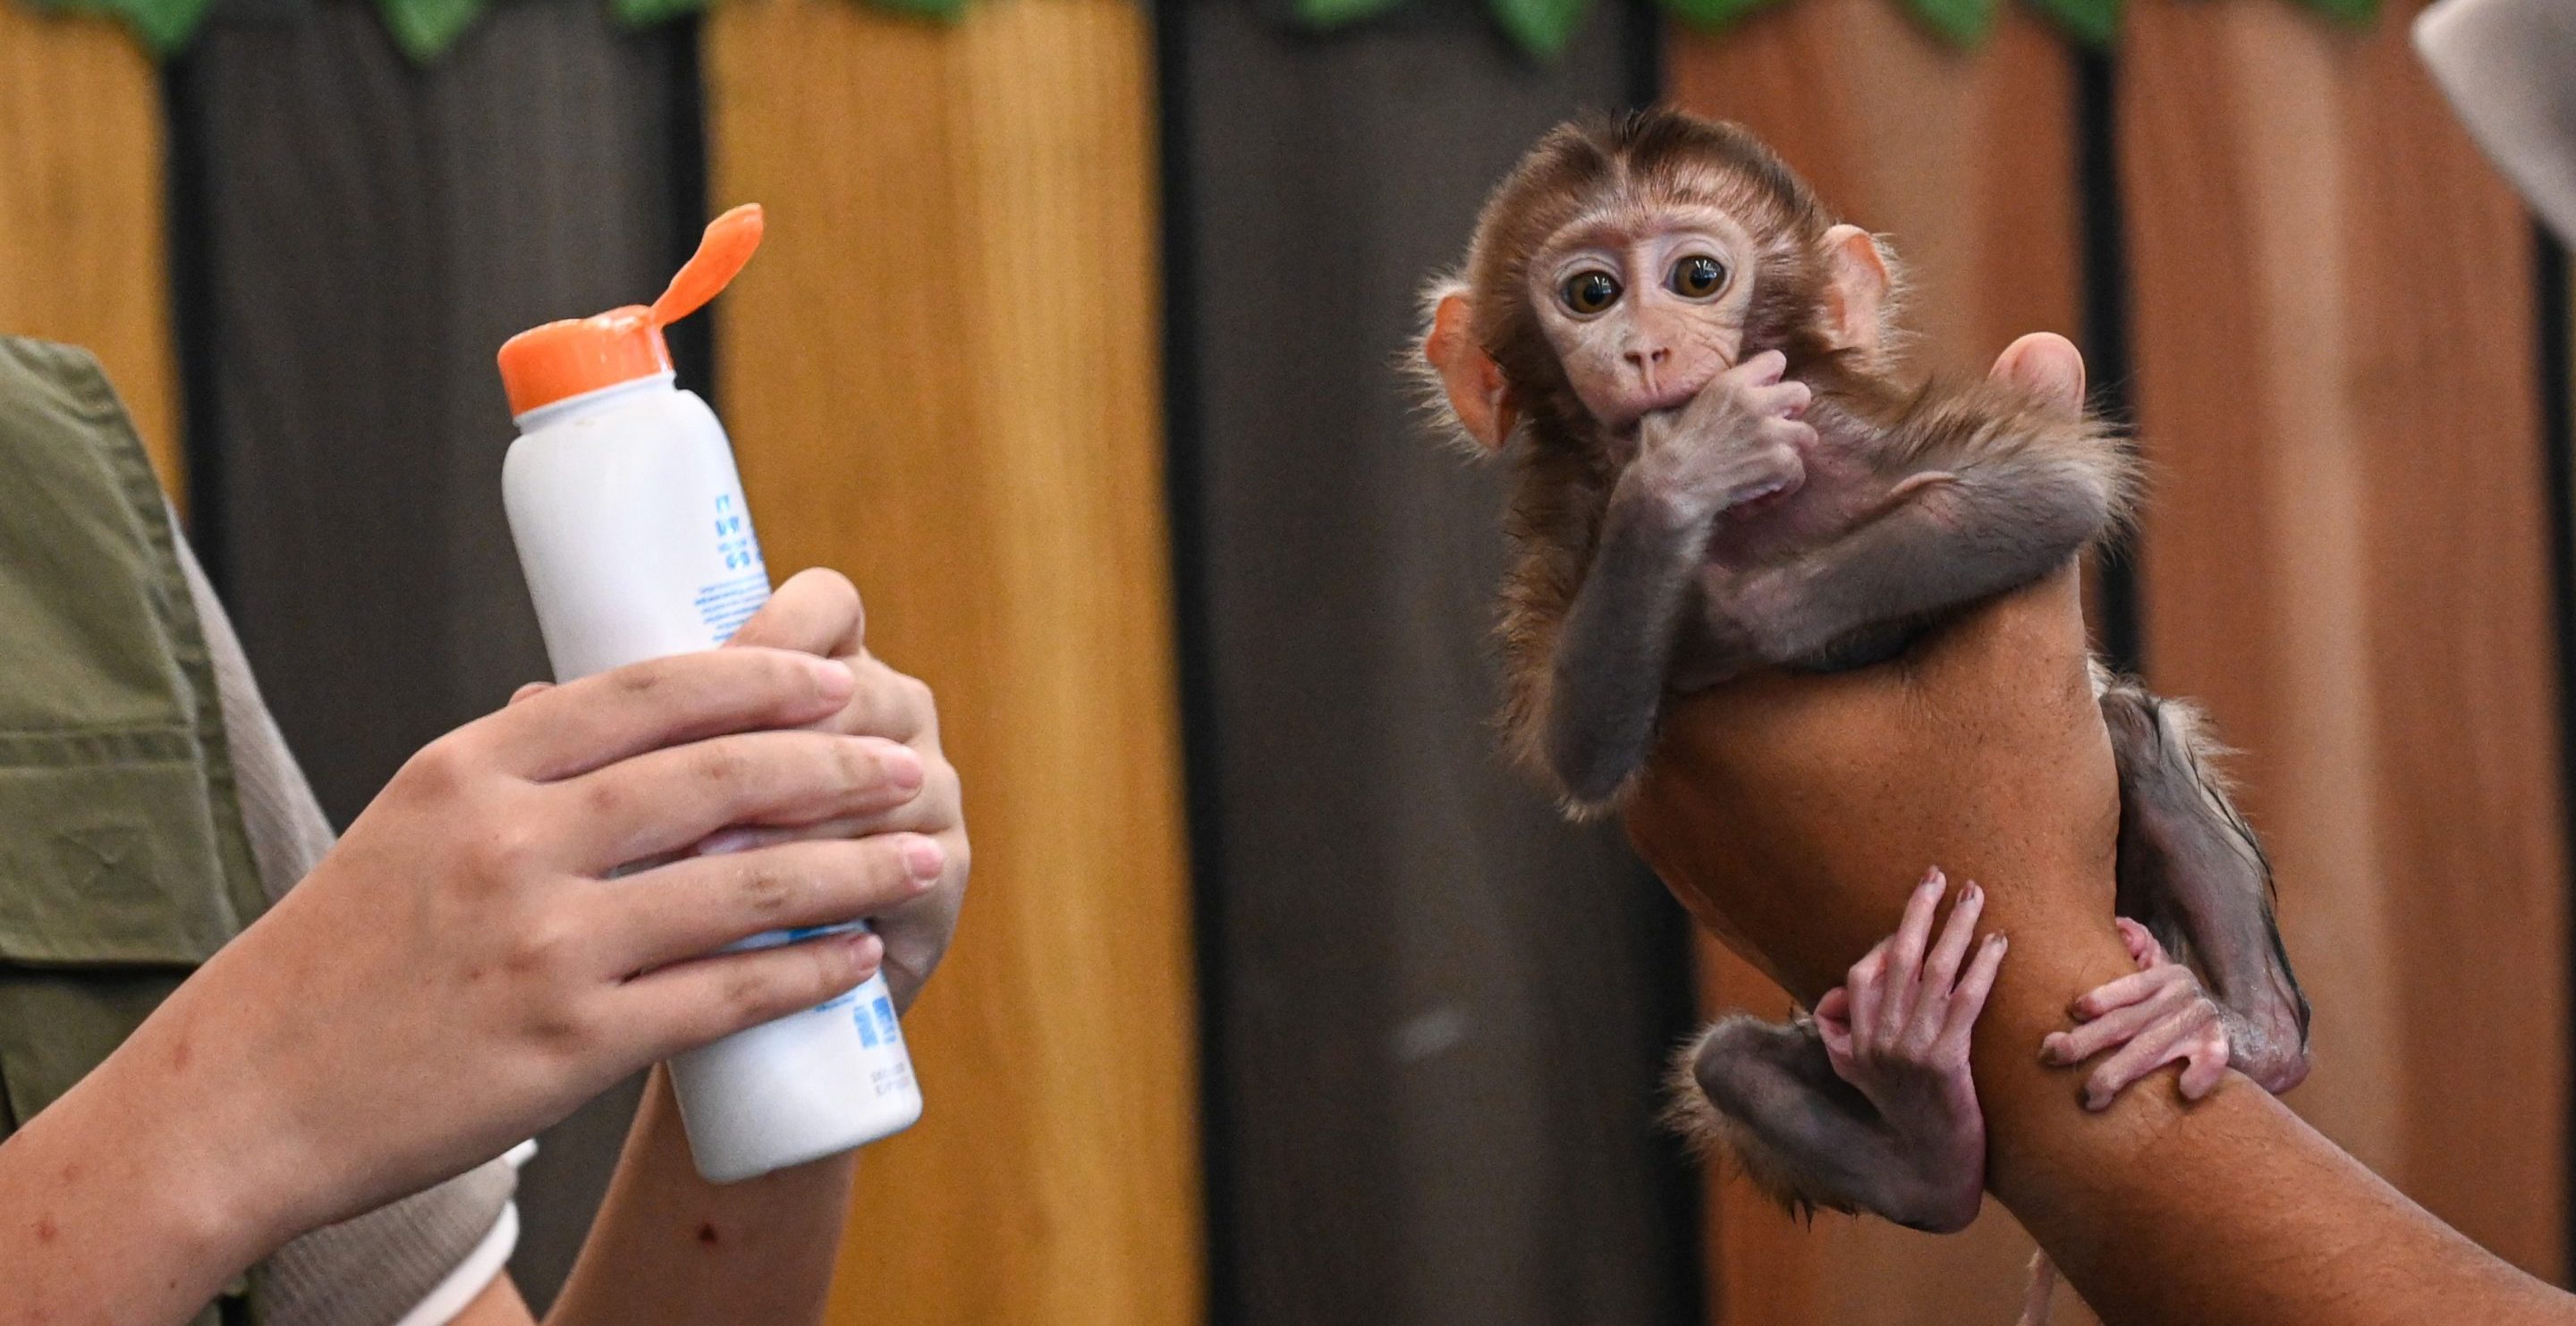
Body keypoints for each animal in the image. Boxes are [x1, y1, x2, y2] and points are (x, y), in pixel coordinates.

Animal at [1415, 109, 2313, 1257]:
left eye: (1697, 275)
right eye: (1590, 294)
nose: (1645, 346)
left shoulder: (1844, 430)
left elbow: (2048, 490)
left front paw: (1724, 609)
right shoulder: (1571, 532)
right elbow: (1585, 744)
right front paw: (1679, 478)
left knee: (2132, 730)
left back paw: (2240, 1029)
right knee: (1749, 1073)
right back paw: (1927, 1129)